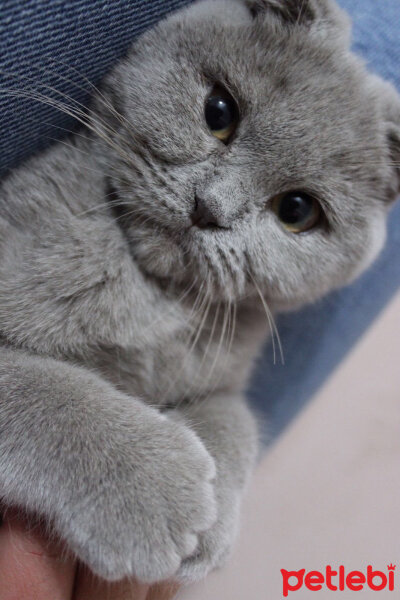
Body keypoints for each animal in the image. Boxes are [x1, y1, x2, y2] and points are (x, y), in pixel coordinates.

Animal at [0, 0, 400, 584]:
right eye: (218, 112)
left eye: (297, 210)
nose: (209, 207)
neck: (152, 296)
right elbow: (43, 389)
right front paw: (153, 489)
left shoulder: (226, 368)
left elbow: (236, 419)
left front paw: (212, 524)